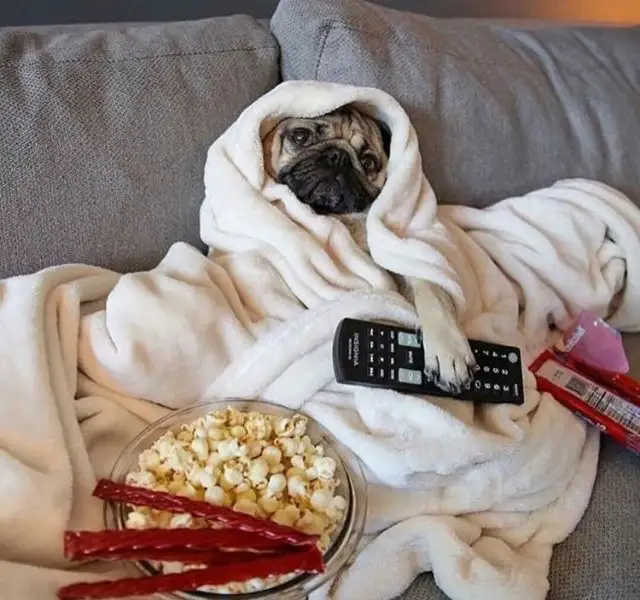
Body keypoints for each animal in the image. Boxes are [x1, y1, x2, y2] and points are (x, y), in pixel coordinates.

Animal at [263, 106, 476, 393]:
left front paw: (448, 348)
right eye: (299, 136)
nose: (338, 156)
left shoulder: (398, 251)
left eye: (368, 163)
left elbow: (430, 288)